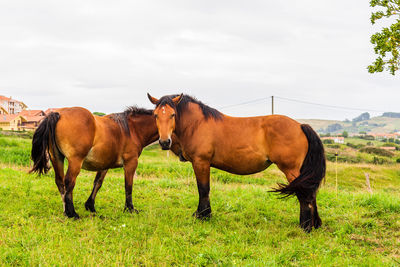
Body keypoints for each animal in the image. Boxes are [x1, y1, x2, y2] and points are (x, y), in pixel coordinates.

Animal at [29, 105, 159, 219]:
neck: (132, 129)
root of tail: (58, 114)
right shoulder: (130, 163)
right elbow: (128, 185)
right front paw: (129, 209)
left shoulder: (104, 165)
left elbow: (97, 183)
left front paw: (90, 206)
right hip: (75, 161)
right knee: (69, 182)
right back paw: (72, 213)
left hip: (57, 158)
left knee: (60, 182)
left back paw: (66, 211)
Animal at [148, 93, 326, 232]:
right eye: (156, 115)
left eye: (172, 114)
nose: (164, 142)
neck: (197, 124)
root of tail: (300, 126)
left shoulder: (201, 163)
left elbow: (203, 189)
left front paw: (203, 216)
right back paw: (314, 224)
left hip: (291, 170)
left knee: (305, 195)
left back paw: (305, 227)